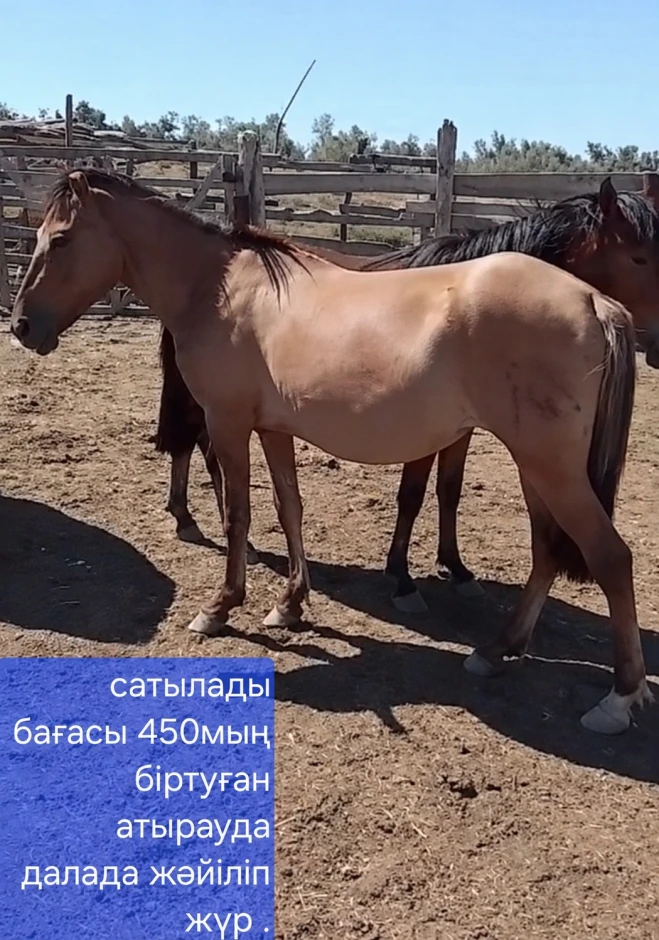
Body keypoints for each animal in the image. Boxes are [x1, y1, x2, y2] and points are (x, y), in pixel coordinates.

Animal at [154, 177, 659, 614]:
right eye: (640, 257)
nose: (656, 345)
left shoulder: (461, 428)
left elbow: (449, 491)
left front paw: (456, 569)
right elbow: (412, 495)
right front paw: (401, 578)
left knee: (195, 445)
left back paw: (194, 519)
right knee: (198, 446)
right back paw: (202, 524)